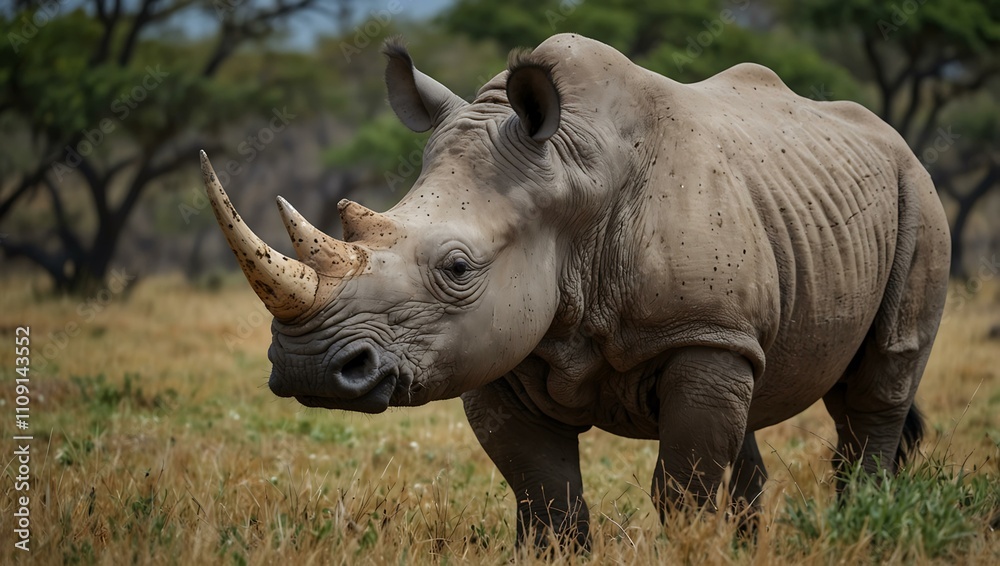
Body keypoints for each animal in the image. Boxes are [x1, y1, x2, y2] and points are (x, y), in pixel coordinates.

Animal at [201, 34, 950, 548]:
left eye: (458, 268)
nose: (309, 368)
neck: (571, 180)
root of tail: (892, 138)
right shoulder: (497, 350)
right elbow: (548, 502)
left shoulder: (701, 329)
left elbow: (681, 492)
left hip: (917, 192)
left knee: (875, 389)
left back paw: (862, 527)